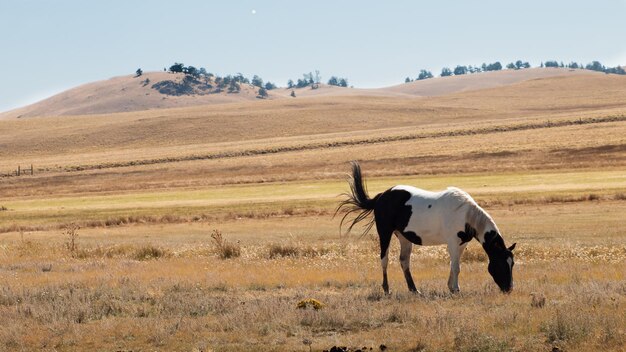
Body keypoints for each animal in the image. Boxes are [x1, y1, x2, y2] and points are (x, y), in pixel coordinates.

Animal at [338, 162, 516, 294]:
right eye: (501, 263)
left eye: (512, 263)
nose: (508, 289)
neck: (466, 215)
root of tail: (382, 196)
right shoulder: (452, 242)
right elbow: (456, 266)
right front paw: (456, 289)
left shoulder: (461, 244)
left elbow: (454, 265)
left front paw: (451, 287)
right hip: (385, 233)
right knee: (384, 260)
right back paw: (387, 289)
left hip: (403, 237)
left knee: (404, 261)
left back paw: (414, 290)